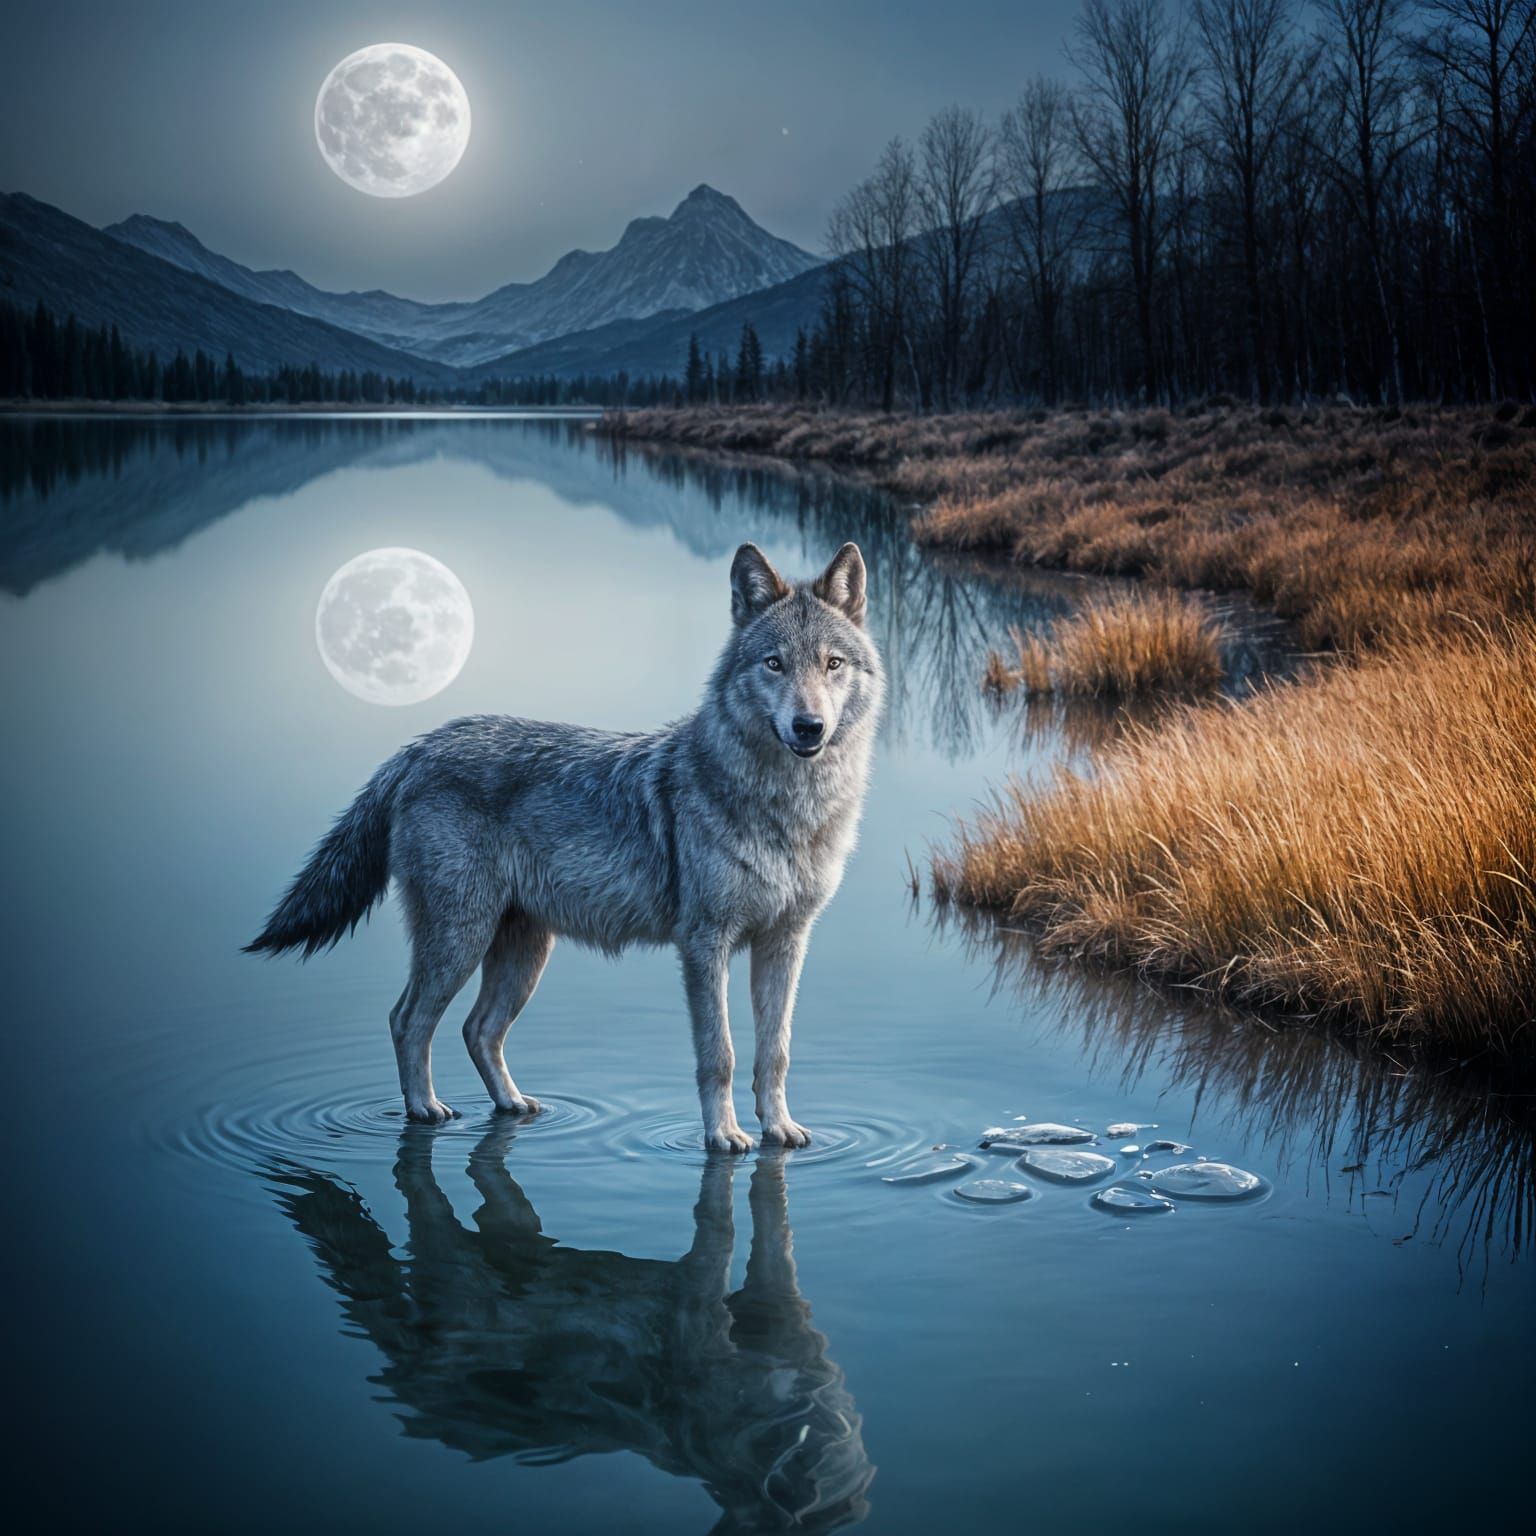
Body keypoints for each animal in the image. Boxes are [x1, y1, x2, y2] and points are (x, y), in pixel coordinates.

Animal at [247, 541, 883, 1151]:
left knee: (477, 1029)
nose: (809, 727)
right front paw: (723, 1136)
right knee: (408, 1019)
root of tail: (420, 745)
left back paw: (514, 1103)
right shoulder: (704, 944)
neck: (787, 811)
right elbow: (719, 1055)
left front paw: (780, 1128)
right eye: (775, 663)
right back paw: (424, 1110)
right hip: (461, 939)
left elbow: (775, 1051)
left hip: (524, 951)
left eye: (832, 664)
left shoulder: (785, 942)